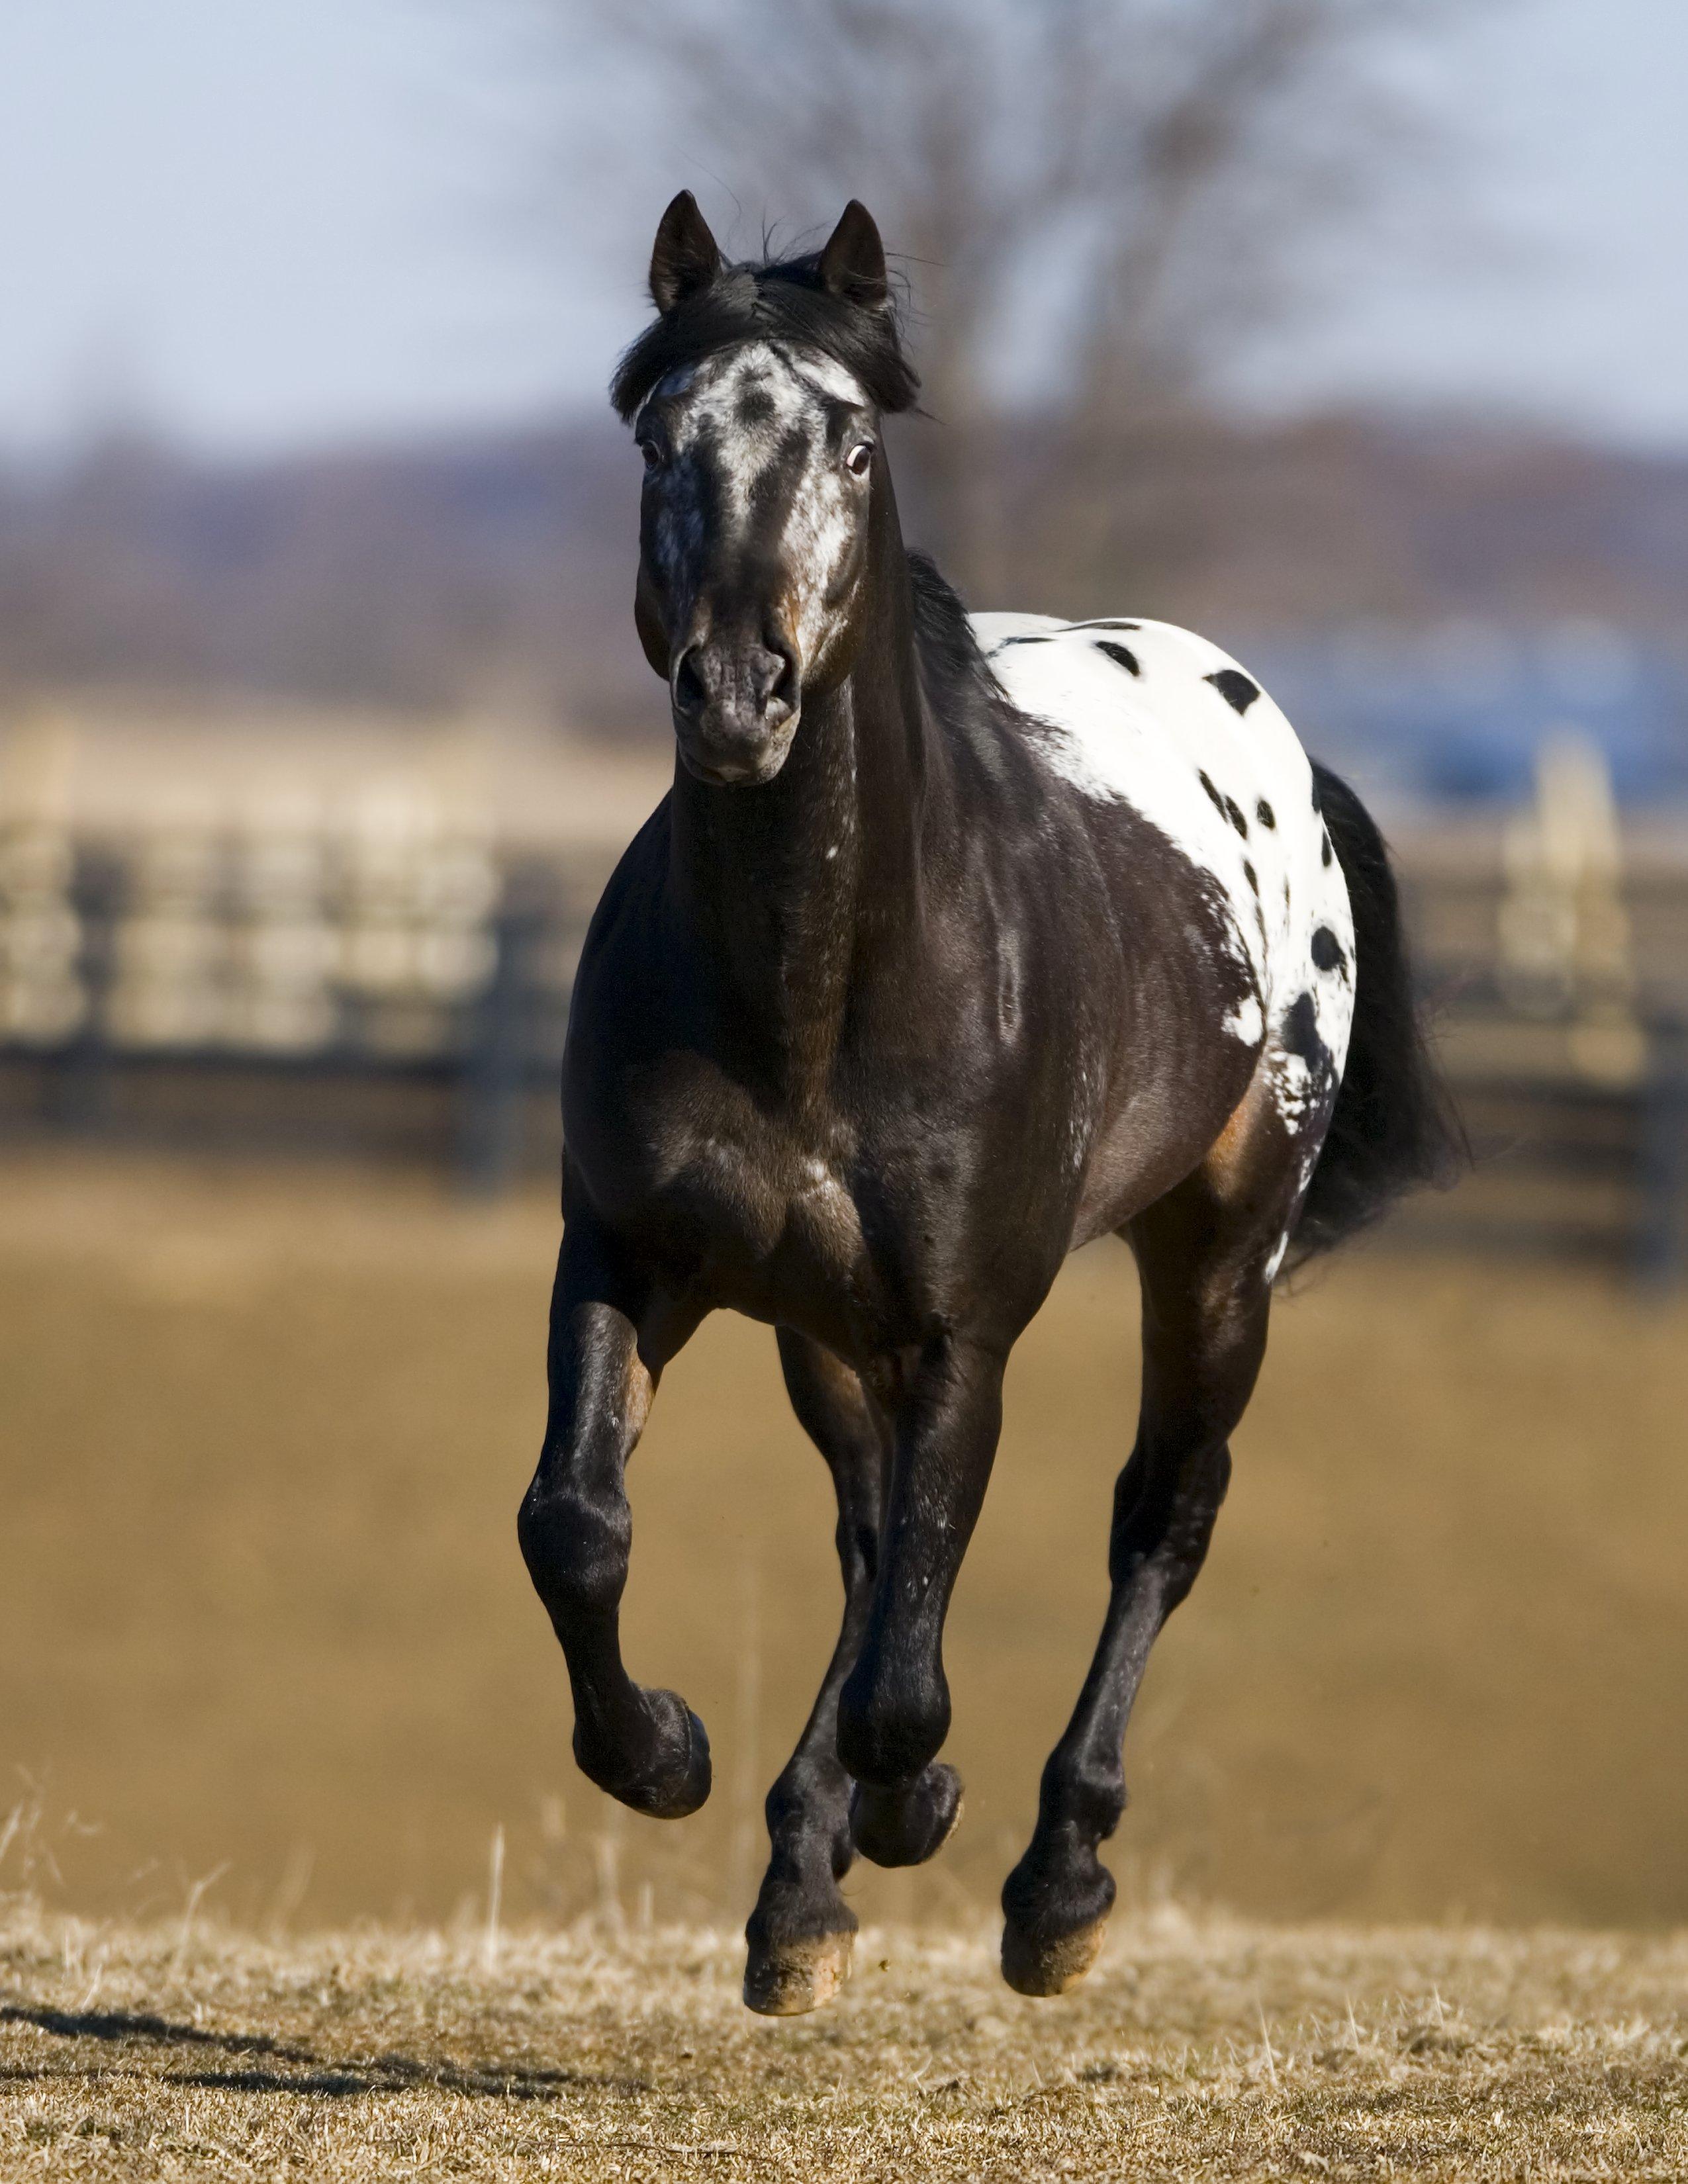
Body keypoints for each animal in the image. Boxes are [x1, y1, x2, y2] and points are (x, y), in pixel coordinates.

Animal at [518, 191, 1460, 2016]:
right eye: (660, 437)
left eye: (854, 442)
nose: (737, 695)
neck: (819, 989)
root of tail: (1288, 760)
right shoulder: (628, 1254)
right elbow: (578, 1527)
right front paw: (671, 1756)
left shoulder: (967, 1329)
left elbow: (915, 1671)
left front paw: (910, 1807)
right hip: (827, 1330)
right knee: (871, 1539)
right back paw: (804, 1897)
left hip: (1221, 1253)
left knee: (1159, 1519)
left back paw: (1052, 1880)